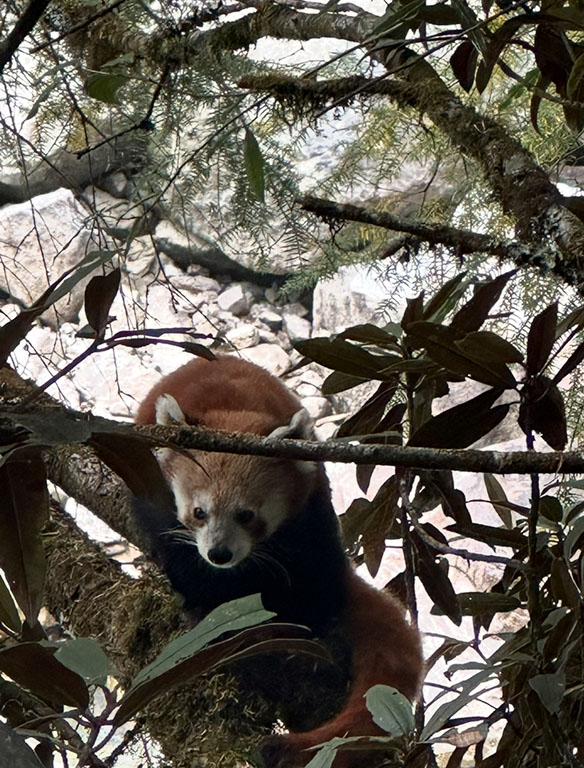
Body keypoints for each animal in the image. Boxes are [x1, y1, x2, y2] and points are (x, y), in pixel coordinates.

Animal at [135, 356, 422, 768]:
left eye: (246, 515)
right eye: (199, 512)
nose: (220, 554)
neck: (230, 411)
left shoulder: (309, 504)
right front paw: (199, 602)